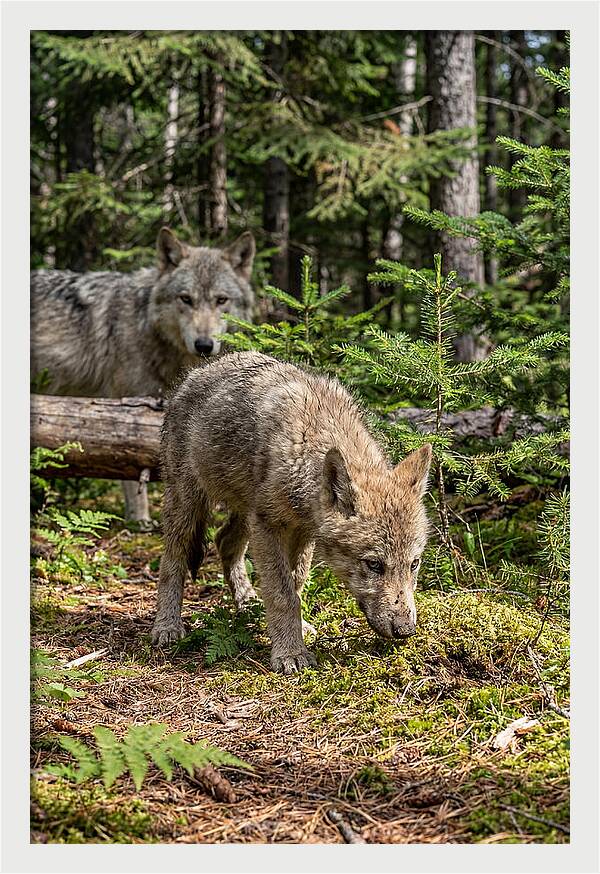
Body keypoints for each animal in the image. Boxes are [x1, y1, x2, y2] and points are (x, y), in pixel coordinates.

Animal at [30, 228, 256, 525]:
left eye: (221, 300)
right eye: (186, 299)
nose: (204, 345)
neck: (146, 325)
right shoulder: (127, 408)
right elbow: (131, 472)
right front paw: (140, 521)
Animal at [152, 351, 432, 674]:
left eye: (414, 564)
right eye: (374, 564)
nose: (405, 630)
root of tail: (196, 373)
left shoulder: (302, 532)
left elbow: (296, 584)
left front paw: (295, 631)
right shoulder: (269, 526)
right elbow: (283, 593)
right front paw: (290, 653)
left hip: (245, 514)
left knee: (224, 541)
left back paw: (248, 605)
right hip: (188, 505)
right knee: (172, 560)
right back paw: (167, 626)